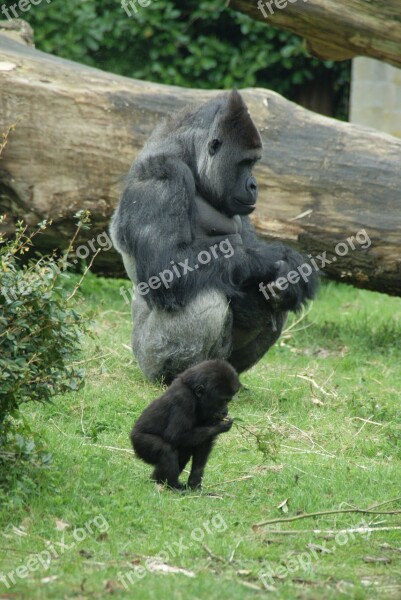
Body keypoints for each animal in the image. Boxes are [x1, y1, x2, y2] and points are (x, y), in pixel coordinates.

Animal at [109, 90, 316, 380]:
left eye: (254, 163)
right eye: (245, 162)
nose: (254, 185)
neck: (190, 156)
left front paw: (292, 271)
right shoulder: (160, 175)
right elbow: (166, 267)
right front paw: (275, 256)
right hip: (147, 357)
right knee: (204, 295)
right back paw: (178, 376)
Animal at [130, 358, 238, 490]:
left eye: (228, 400)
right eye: (223, 400)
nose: (225, 411)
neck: (192, 391)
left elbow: (203, 445)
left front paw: (195, 483)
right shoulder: (183, 399)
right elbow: (174, 435)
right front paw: (219, 426)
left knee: (184, 450)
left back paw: (159, 480)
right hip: (139, 442)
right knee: (165, 449)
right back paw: (172, 485)